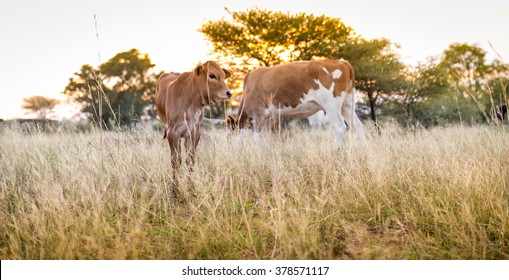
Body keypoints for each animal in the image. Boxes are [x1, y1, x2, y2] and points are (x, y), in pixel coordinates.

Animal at [228, 58, 364, 148]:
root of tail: (341, 62)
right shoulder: (274, 117)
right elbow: (273, 136)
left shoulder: (258, 115)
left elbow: (257, 138)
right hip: (347, 105)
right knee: (358, 126)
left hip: (331, 106)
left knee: (339, 127)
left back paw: (335, 151)